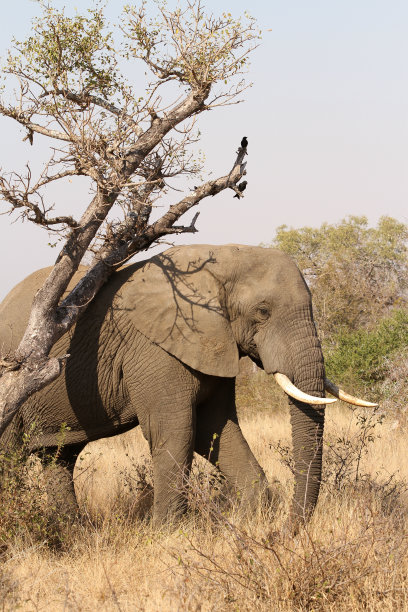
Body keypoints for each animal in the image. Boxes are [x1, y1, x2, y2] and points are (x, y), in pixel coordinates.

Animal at [0, 244, 374, 524]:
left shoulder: (212, 343)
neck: (220, 258)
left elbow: (216, 427)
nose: (284, 533)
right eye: (263, 311)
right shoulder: (155, 346)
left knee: (59, 459)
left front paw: (251, 516)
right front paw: (167, 534)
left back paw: (72, 530)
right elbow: (176, 429)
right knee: (11, 453)